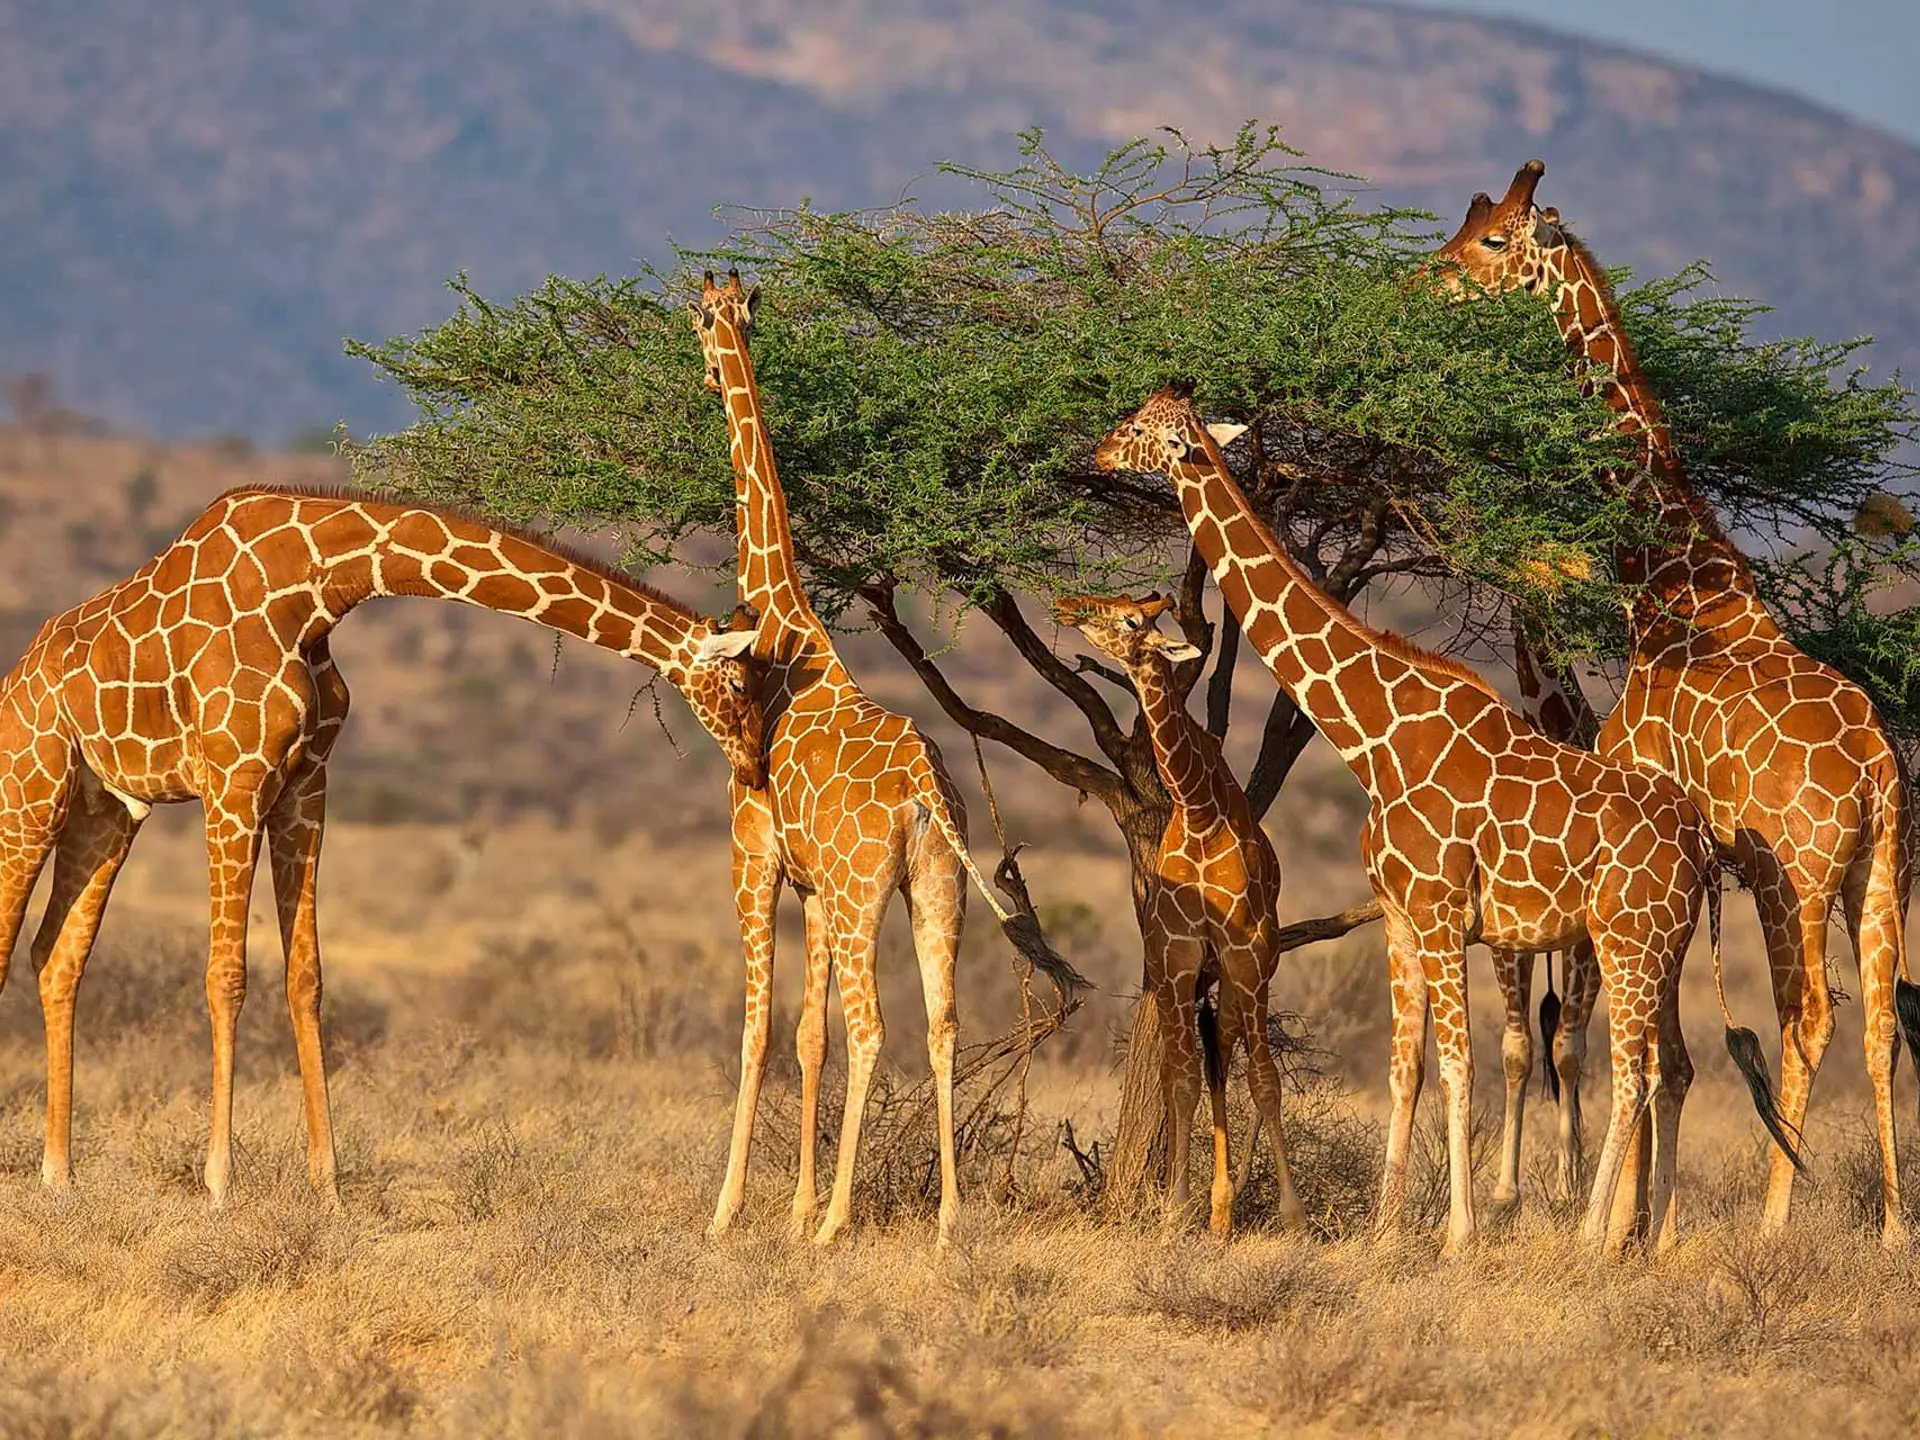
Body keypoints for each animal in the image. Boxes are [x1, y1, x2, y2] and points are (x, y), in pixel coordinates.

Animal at [0, 491, 764, 1213]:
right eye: (736, 684)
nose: (755, 764)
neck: (315, 587)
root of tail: (18, 679)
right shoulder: (235, 781)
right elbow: (227, 976)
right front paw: (220, 1182)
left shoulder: (305, 784)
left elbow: (305, 978)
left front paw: (328, 1188)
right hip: (30, 790)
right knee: (13, 943)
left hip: (107, 812)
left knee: (55, 957)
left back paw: (59, 1174)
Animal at [687, 270, 1082, 1251]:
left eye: (697, 320)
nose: (707, 372)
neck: (786, 631)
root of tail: (924, 791)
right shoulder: (816, 886)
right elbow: (808, 1037)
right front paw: (792, 1208)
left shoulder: (757, 861)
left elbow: (760, 1033)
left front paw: (733, 1212)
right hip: (936, 884)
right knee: (942, 1023)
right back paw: (946, 1216)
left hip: (871, 887)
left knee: (874, 1028)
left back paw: (840, 1222)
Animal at [1052, 591, 1305, 1236]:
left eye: (1130, 619)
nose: (1065, 605)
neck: (1198, 812)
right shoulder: (1175, 959)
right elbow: (1183, 1080)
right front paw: (1175, 1207)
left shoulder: (1248, 959)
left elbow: (1264, 1081)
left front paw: (1292, 1215)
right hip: (1189, 980)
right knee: (1195, 1064)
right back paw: (1211, 1206)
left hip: (1240, 978)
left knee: (1229, 1058)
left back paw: (1227, 1206)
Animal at [1098, 389, 1797, 1259]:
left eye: (1140, 428)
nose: (1098, 453)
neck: (1372, 736)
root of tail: (1702, 845)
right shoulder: (1400, 919)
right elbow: (1406, 1069)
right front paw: (1385, 1230)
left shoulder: (1440, 915)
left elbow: (1463, 1066)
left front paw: (1458, 1233)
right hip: (1661, 947)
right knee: (1673, 1066)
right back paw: (1652, 1239)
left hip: (1627, 940)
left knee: (1633, 1072)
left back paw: (1589, 1238)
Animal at [1443, 155, 1920, 1244]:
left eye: (1491, 241)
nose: (1422, 286)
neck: (1664, 589)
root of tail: (1878, 777)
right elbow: (1664, 1043)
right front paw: (1638, 1224)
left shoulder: (1649, 822)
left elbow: (1650, 1042)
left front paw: (1623, 1227)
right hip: (1882, 875)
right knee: (1881, 1023)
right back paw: (1889, 1228)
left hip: (1796, 877)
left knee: (1810, 1017)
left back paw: (1776, 1221)